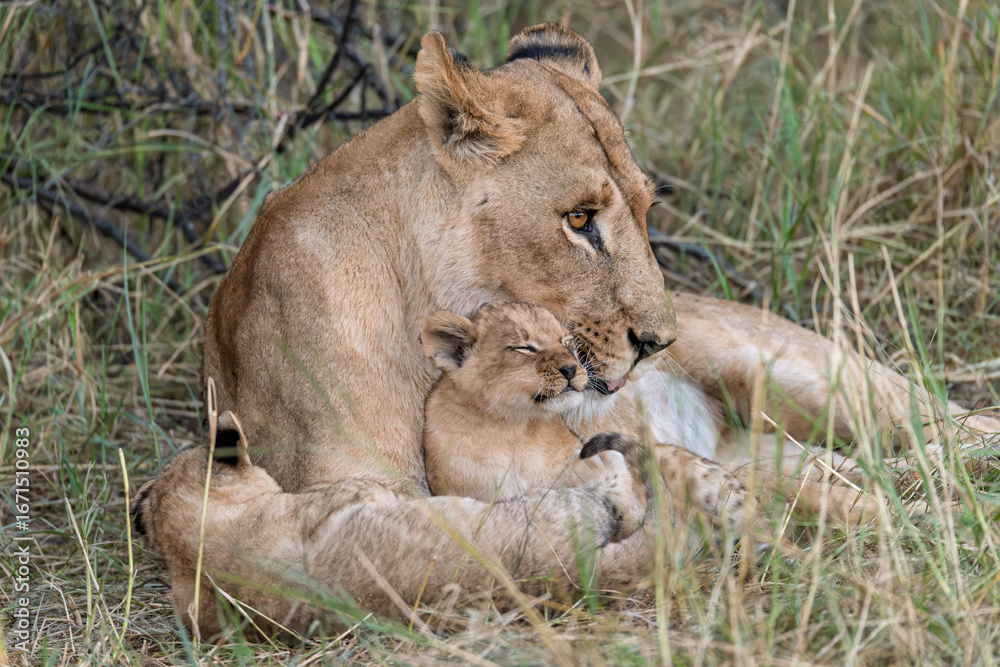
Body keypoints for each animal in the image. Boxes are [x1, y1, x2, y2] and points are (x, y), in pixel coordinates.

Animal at [138, 22, 998, 635]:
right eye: (579, 220)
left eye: (646, 206)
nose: (659, 343)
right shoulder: (343, 502)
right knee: (840, 469)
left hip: (805, 370)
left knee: (947, 431)